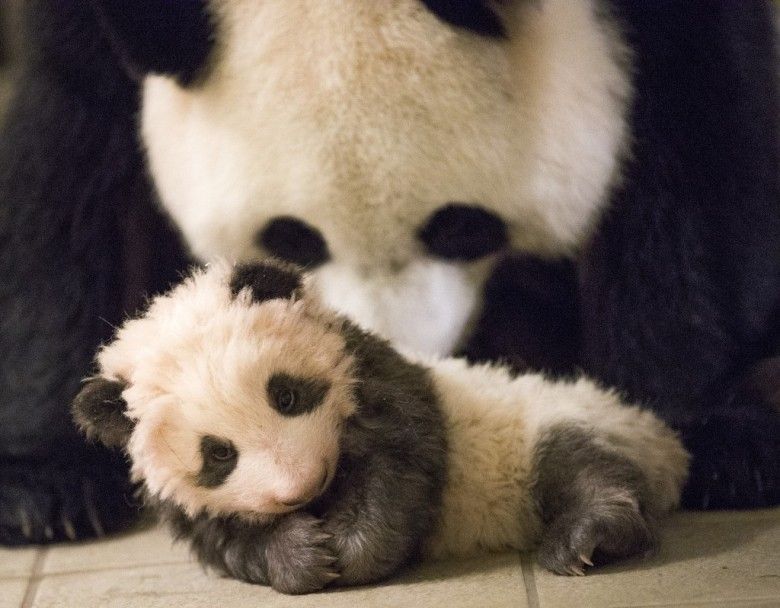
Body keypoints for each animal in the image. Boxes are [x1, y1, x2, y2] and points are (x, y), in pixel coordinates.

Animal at [70, 260, 684, 592]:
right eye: (218, 454)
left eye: (286, 395)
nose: (301, 486)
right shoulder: (188, 504)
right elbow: (229, 542)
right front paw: (302, 556)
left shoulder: (379, 379)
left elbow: (402, 466)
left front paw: (351, 553)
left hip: (547, 419)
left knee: (581, 465)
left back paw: (587, 535)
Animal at [87, 1, 780, 512]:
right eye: (293, 240)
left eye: (460, 229)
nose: (404, 353)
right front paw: (66, 489)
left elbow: (693, 128)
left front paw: (701, 434)